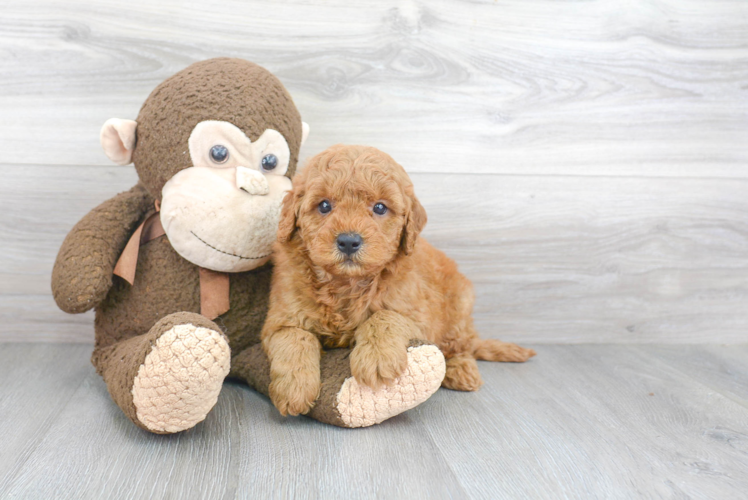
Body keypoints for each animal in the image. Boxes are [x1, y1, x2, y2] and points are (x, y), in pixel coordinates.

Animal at [260, 144, 536, 414]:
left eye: (380, 207)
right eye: (324, 206)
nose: (348, 241)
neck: (346, 283)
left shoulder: (419, 316)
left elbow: (385, 316)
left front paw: (377, 358)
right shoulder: (281, 319)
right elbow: (295, 338)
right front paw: (294, 388)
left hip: (459, 308)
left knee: (461, 345)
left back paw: (462, 370)